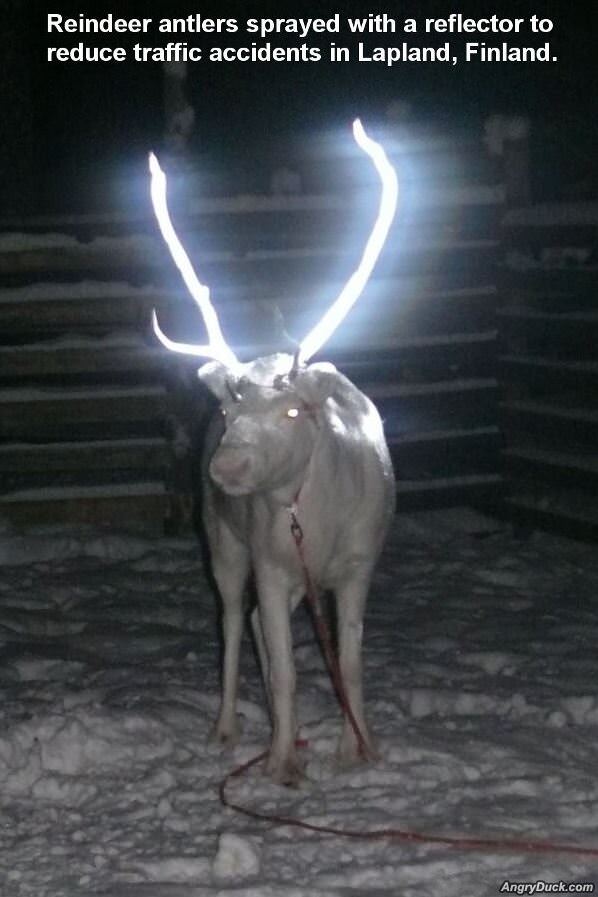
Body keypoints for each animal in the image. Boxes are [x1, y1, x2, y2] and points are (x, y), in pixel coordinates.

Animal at [150, 120, 398, 785]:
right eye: (232, 411)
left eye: (292, 412)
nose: (227, 465)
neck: (311, 521)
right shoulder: (269, 561)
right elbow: (285, 668)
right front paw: (283, 761)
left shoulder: (359, 563)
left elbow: (350, 662)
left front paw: (360, 747)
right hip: (225, 545)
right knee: (236, 623)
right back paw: (230, 728)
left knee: (262, 625)